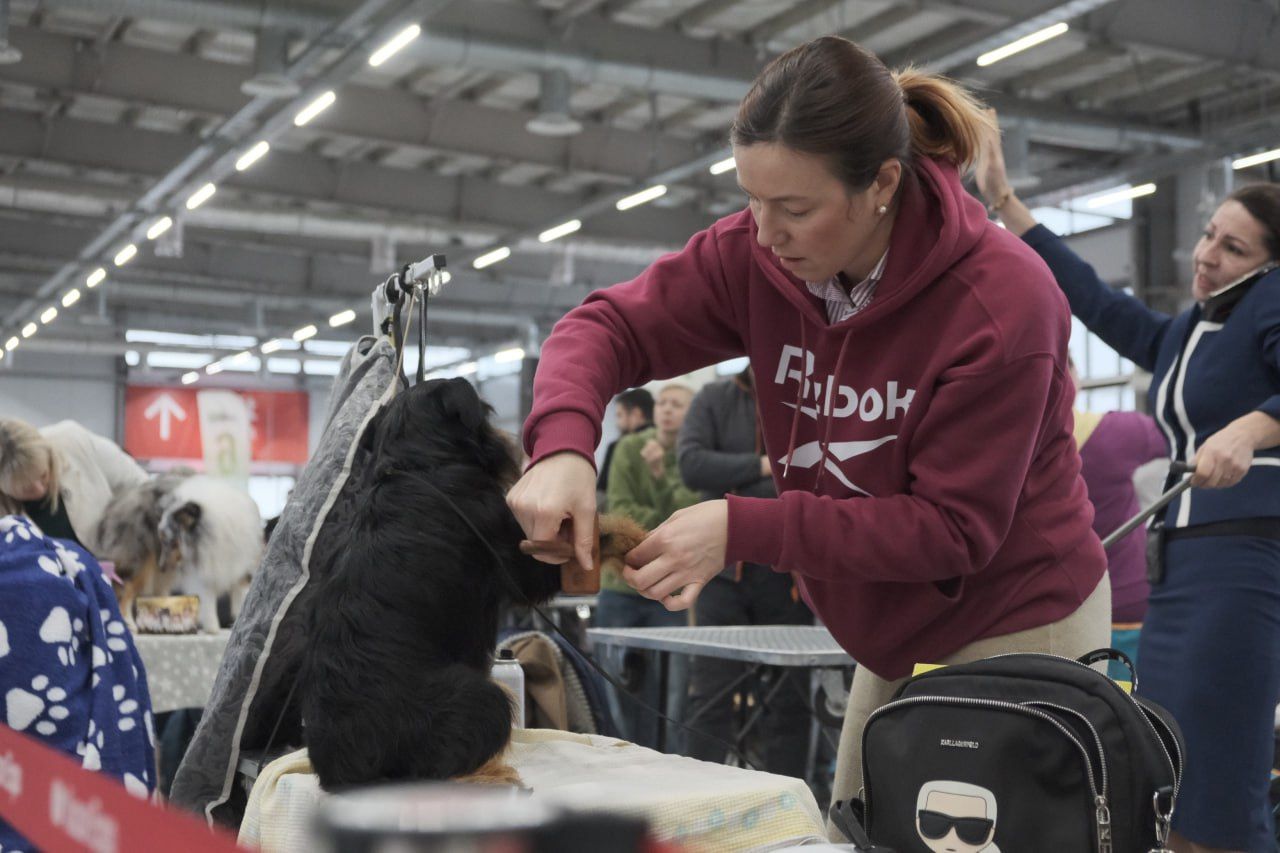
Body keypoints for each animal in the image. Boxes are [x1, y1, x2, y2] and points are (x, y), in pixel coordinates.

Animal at [302, 379, 563, 788]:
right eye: (487, 413)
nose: (511, 442)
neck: (417, 463)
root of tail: (348, 766)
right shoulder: (512, 544)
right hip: (482, 697)